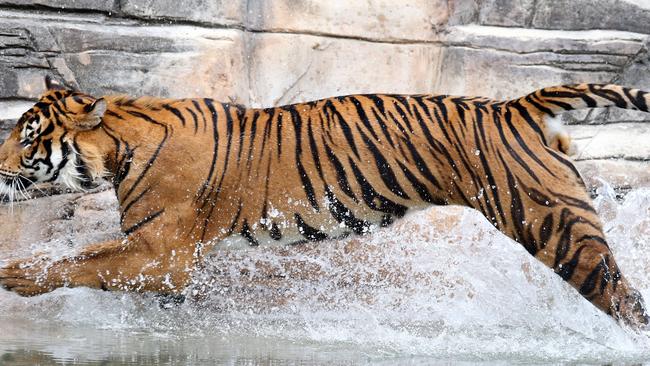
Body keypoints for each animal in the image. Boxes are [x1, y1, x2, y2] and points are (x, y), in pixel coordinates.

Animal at [1, 76, 648, 328]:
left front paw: (12, 276)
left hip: (558, 228)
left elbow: (72, 262)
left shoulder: (159, 251)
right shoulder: (161, 258)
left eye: (27, 137)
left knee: (624, 299)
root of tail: (515, 105)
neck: (119, 144)